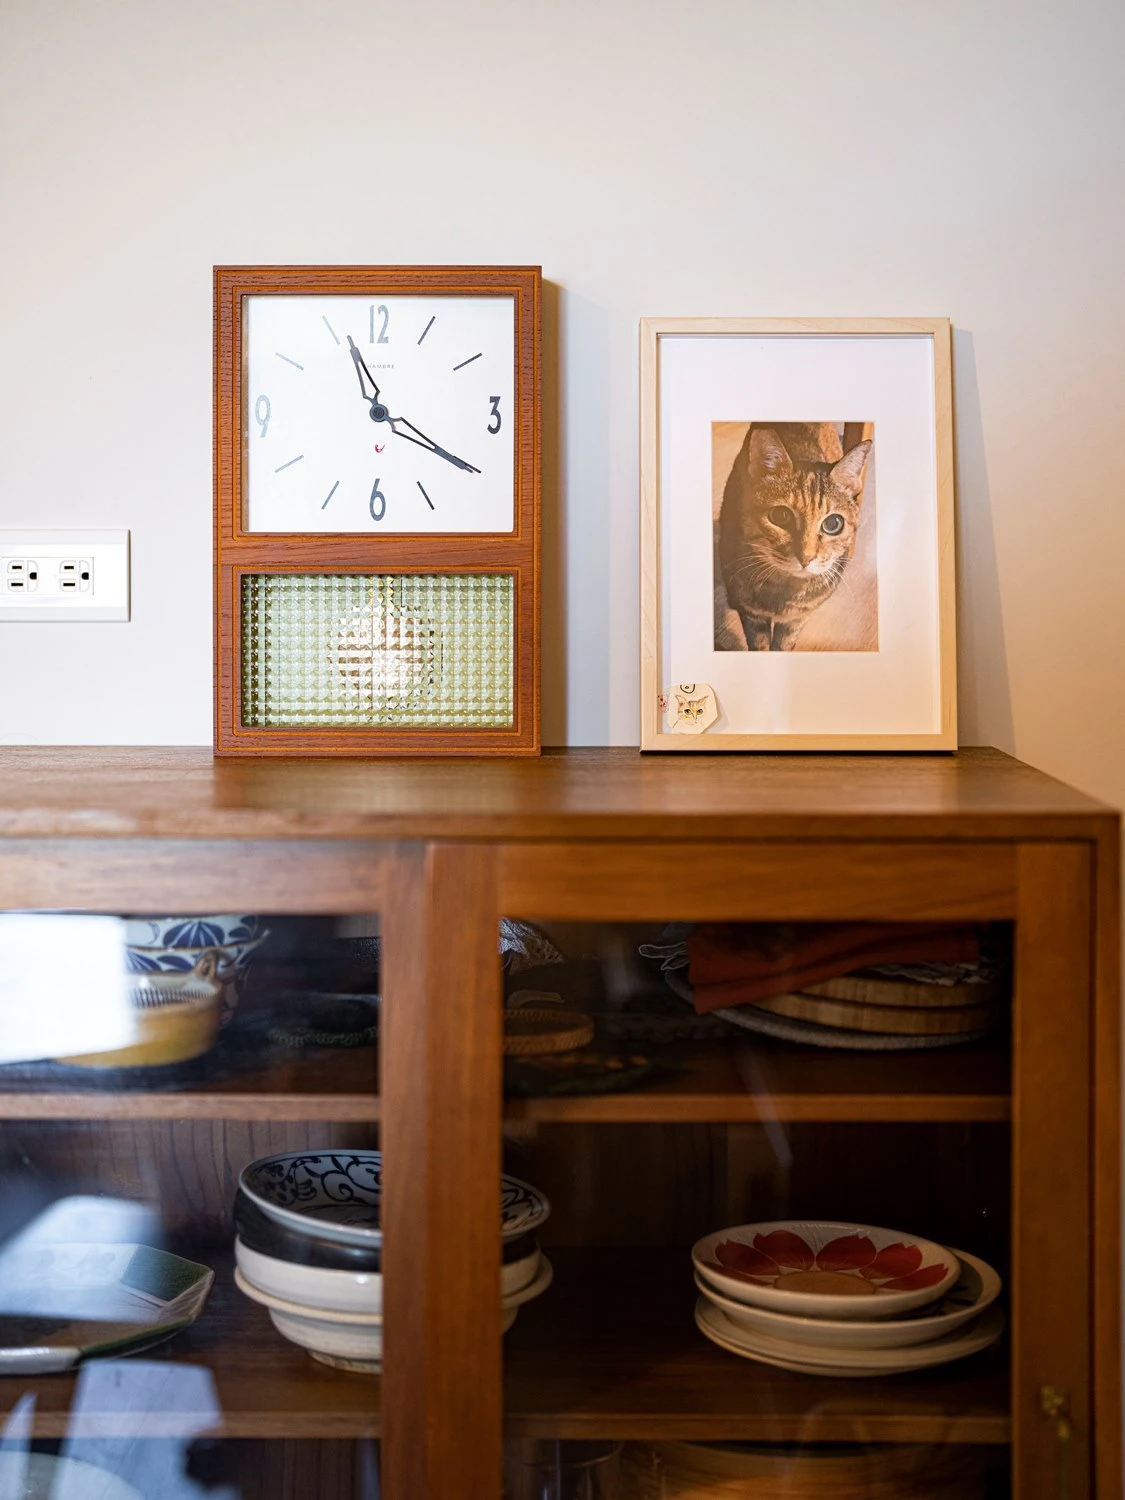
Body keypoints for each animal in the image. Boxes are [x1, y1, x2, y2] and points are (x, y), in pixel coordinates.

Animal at [718, 422, 872, 651]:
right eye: (781, 516)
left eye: (833, 524)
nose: (806, 557)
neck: (785, 589)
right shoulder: (751, 615)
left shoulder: (796, 620)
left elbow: (783, 646)